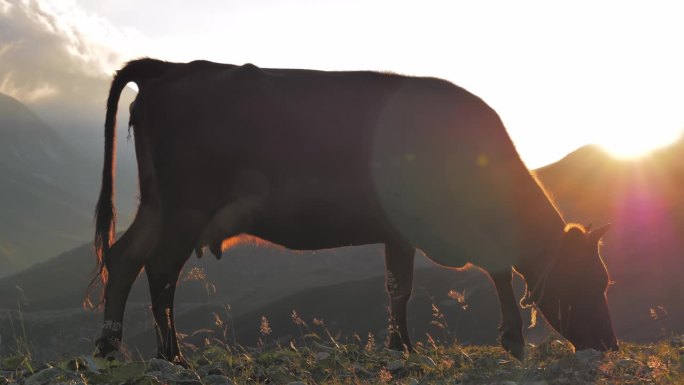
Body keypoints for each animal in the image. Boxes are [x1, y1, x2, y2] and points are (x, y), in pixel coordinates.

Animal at [92, 58, 620, 364]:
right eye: (596, 280)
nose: (611, 346)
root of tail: (168, 67)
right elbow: (496, 270)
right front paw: (511, 338)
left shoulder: (400, 232)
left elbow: (398, 287)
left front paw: (400, 346)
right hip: (186, 206)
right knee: (160, 270)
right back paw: (171, 354)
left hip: (159, 204)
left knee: (123, 258)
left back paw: (110, 346)